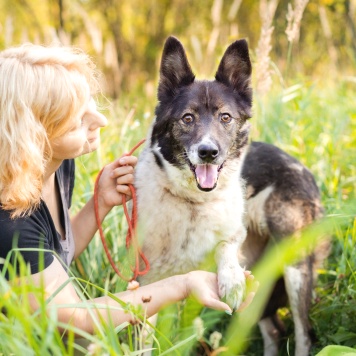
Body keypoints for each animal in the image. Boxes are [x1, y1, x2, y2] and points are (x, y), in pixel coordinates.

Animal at [135, 36, 326, 356]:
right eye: (187, 118)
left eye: (225, 117)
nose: (208, 152)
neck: (194, 203)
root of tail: (299, 165)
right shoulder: (147, 284)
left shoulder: (235, 233)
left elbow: (227, 243)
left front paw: (231, 280)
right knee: (274, 330)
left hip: (295, 267)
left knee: (303, 333)